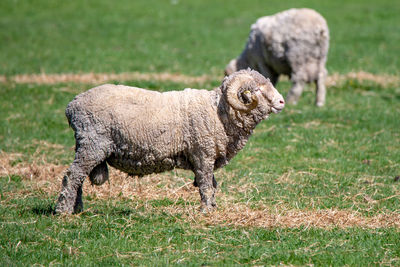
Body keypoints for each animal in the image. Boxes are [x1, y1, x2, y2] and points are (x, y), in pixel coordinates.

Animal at [54, 69, 284, 216]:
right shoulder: (202, 154)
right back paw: (63, 211)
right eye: (257, 90)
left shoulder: (207, 156)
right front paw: (206, 211)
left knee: (78, 178)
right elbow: (205, 185)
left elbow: (212, 184)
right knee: (72, 176)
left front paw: (213, 207)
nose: (282, 102)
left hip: (86, 146)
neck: (218, 112)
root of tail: (71, 106)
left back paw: (76, 209)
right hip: (92, 144)